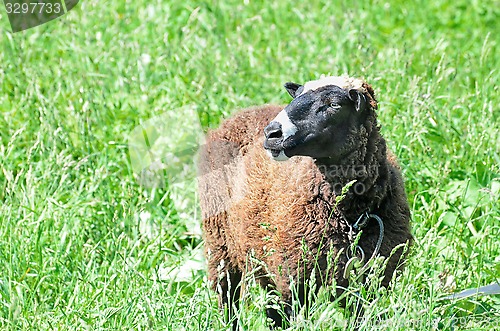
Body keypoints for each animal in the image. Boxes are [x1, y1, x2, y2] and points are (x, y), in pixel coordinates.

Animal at [197, 76, 412, 330]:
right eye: (297, 95)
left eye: (334, 105)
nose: (272, 133)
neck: (349, 215)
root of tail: (242, 113)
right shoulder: (295, 279)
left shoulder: (370, 279)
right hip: (220, 244)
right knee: (228, 297)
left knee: (271, 307)